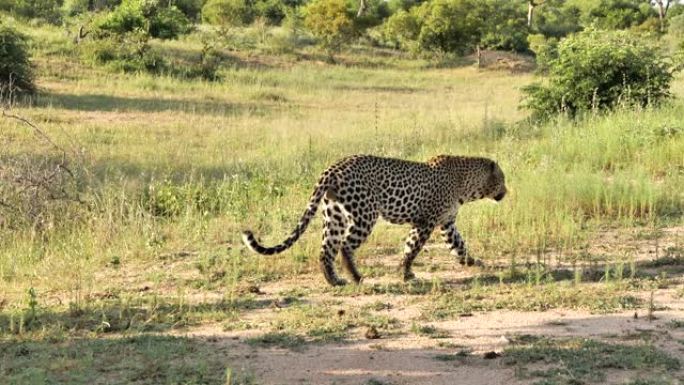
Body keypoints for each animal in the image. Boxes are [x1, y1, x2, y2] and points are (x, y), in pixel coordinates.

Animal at [243, 154, 504, 284]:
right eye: (502, 179)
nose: (507, 191)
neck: (467, 184)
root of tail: (332, 168)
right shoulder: (426, 222)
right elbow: (413, 248)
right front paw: (406, 273)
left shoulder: (446, 223)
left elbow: (458, 245)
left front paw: (473, 262)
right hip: (365, 214)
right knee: (345, 247)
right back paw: (356, 277)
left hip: (334, 216)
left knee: (326, 250)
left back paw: (334, 280)